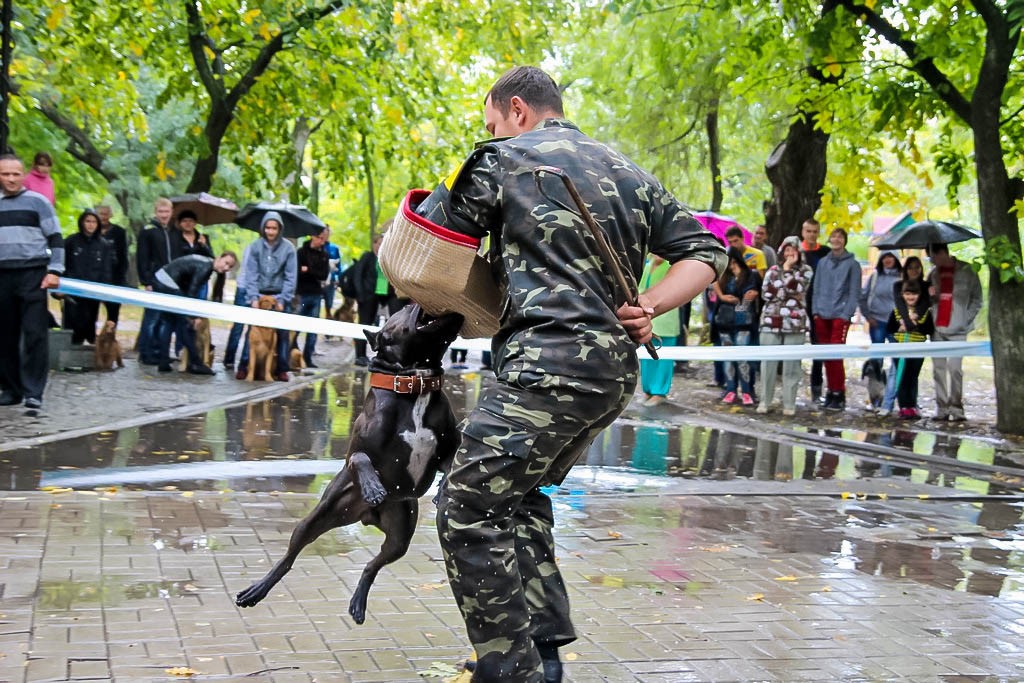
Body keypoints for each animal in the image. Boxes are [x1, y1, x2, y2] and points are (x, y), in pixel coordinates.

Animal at [235, 305, 464, 626]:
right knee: (289, 557)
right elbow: (360, 458)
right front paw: (373, 487)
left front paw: (443, 489)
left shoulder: (449, 445)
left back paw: (358, 603)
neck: (414, 386)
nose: (414, 302)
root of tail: (367, 516)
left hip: (399, 536)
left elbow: (452, 461)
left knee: (373, 564)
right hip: (317, 518)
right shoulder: (355, 450)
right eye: (405, 308)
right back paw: (257, 590)